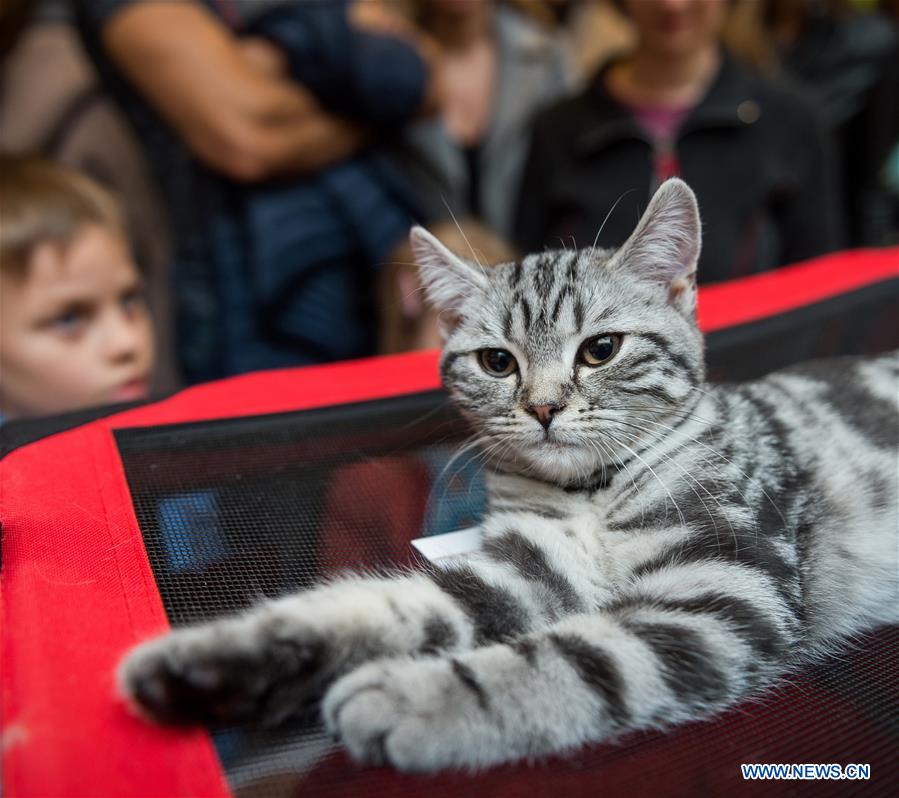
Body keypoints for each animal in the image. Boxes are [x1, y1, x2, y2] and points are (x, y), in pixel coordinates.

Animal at [121, 180, 899, 776]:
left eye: (601, 349)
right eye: (497, 362)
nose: (544, 407)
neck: (591, 493)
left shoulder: (725, 583)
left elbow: (575, 657)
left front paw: (412, 698)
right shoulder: (529, 564)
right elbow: (395, 604)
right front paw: (218, 661)